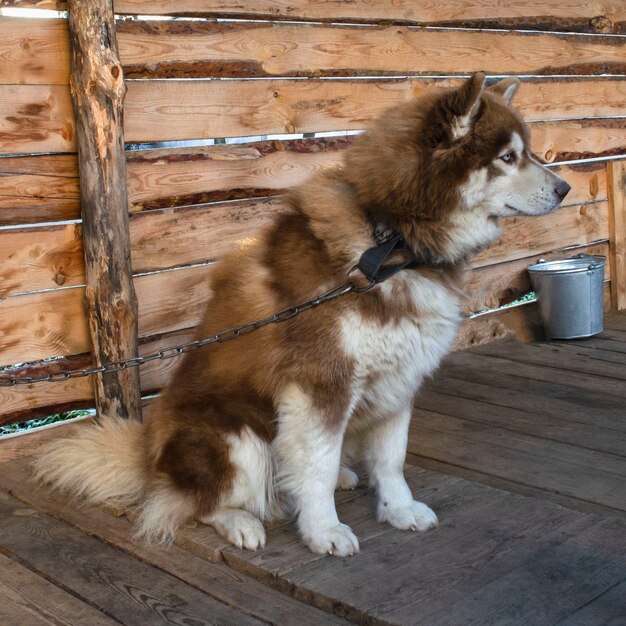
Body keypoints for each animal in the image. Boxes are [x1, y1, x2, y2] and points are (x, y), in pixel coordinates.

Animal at [35, 74, 572, 556]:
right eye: (508, 157)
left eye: (527, 151)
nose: (566, 187)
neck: (390, 244)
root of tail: (147, 453)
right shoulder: (320, 384)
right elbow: (314, 467)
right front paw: (323, 532)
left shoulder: (400, 377)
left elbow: (391, 459)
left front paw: (398, 510)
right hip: (234, 437)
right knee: (192, 504)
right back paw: (240, 522)